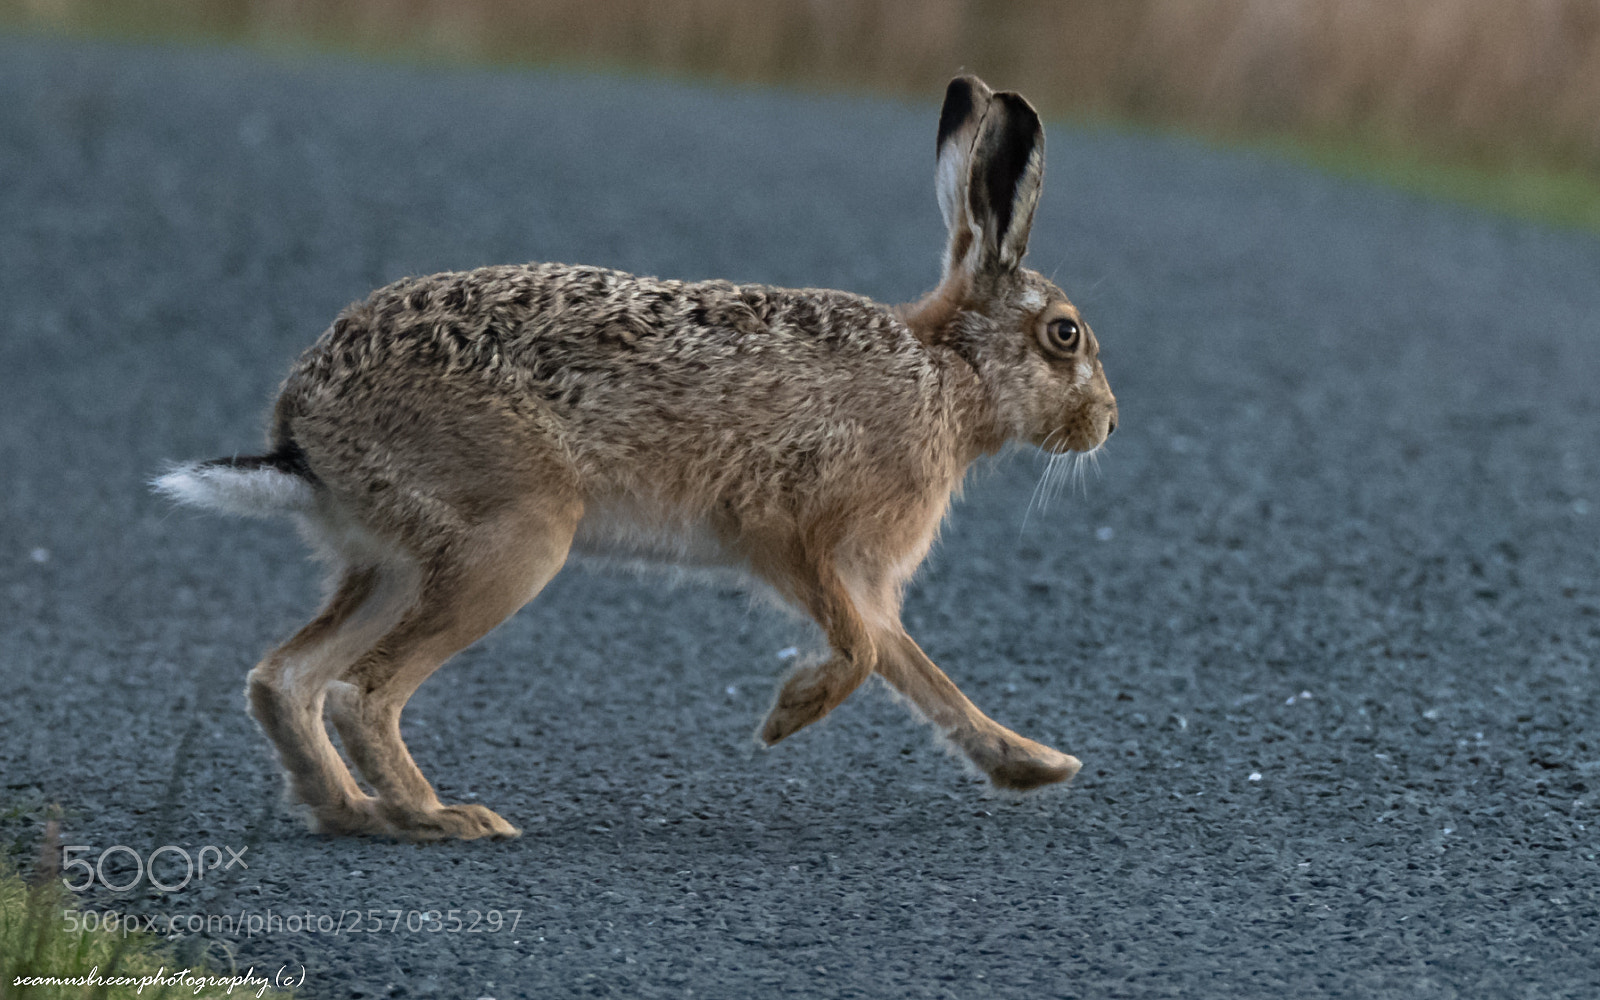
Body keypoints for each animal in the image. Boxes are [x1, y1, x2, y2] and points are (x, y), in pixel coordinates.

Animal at [153, 75, 1117, 841]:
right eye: (1065, 335)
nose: (1106, 422)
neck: (949, 373)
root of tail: (302, 422)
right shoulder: (795, 535)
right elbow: (864, 654)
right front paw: (786, 717)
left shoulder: (862, 579)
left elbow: (920, 674)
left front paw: (1034, 766)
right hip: (511, 541)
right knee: (365, 690)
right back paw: (440, 817)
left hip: (394, 559)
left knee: (287, 678)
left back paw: (350, 811)